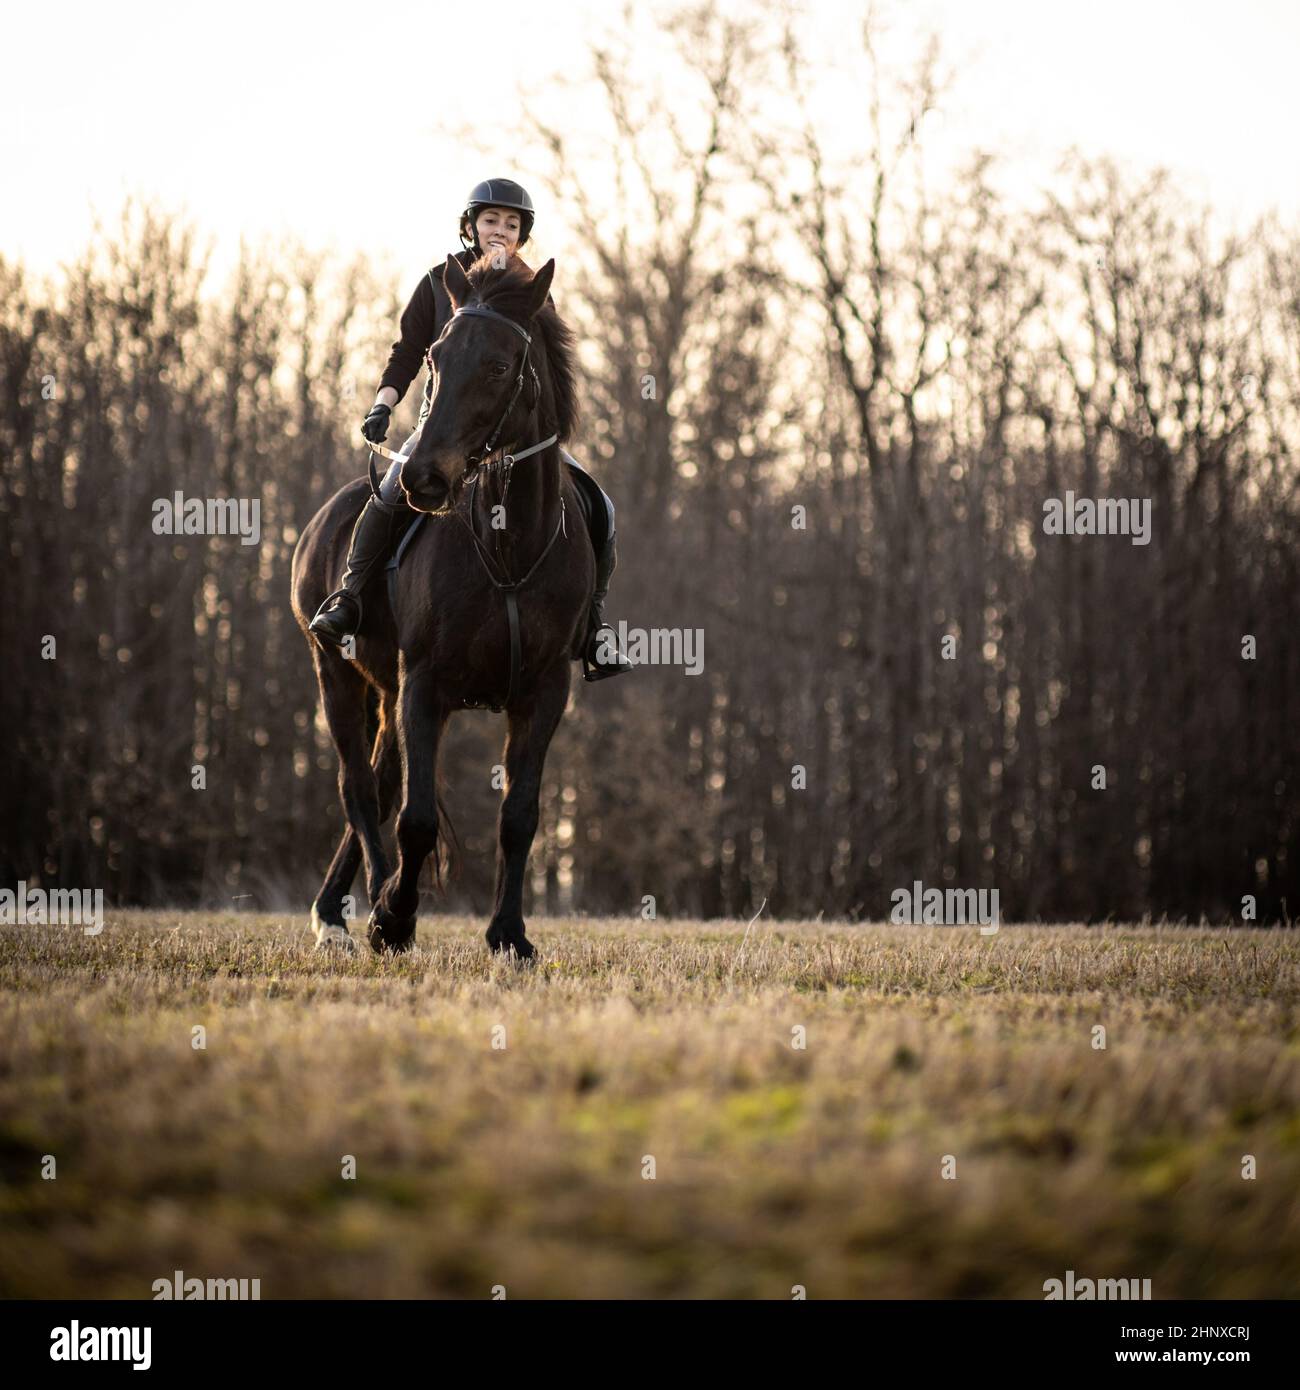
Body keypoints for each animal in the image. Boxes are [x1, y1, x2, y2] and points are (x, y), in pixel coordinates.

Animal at [290, 253, 593, 959]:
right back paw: (358, 909)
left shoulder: (545, 691)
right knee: (358, 789)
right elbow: (416, 818)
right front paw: (393, 919)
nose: (423, 478)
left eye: (501, 366)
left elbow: (519, 817)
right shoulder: (423, 684)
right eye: (435, 356)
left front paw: (510, 935)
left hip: (380, 687)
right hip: (335, 671)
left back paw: (340, 908)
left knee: (376, 784)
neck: (509, 548)